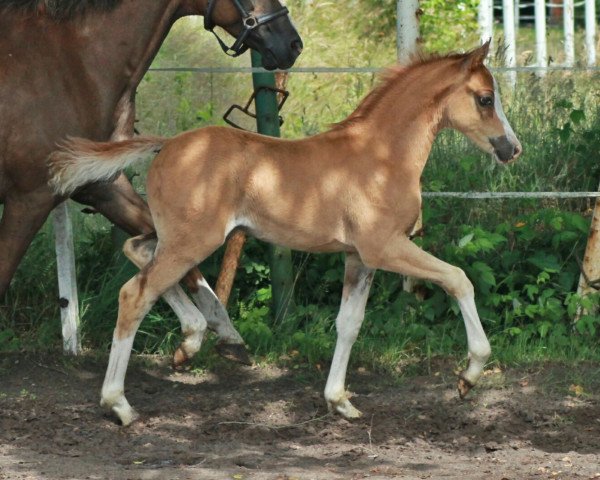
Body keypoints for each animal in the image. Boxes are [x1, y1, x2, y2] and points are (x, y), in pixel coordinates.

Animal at [0, 0, 300, 358]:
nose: (292, 44)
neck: (72, 64)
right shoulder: (30, 198)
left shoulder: (100, 185)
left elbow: (167, 248)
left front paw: (213, 333)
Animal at [50, 41, 520, 424]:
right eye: (485, 99)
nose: (511, 149)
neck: (383, 156)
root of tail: (166, 144)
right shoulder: (384, 247)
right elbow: (459, 279)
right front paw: (469, 375)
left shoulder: (358, 257)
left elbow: (349, 323)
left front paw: (339, 401)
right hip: (192, 241)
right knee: (135, 293)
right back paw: (120, 405)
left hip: (176, 237)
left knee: (138, 250)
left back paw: (194, 338)